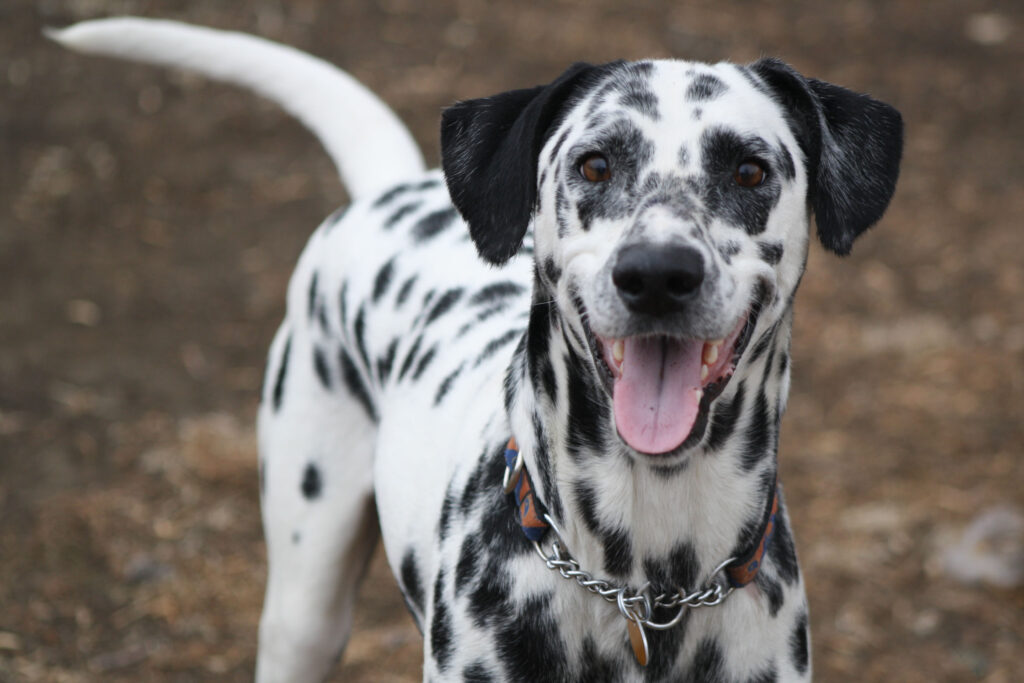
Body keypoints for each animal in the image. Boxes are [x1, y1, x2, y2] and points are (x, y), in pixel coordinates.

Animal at [56, 17, 905, 683]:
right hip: (304, 600)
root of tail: (393, 185)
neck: (643, 588)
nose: (658, 274)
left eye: (749, 168)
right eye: (595, 163)